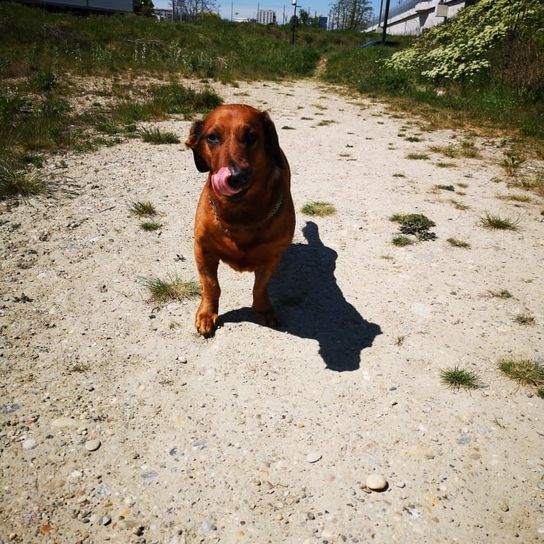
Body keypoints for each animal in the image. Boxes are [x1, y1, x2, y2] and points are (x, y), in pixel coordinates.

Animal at [186, 104, 298, 338]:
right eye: (212, 137)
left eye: (251, 136)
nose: (235, 177)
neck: (241, 215)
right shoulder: (202, 249)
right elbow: (211, 285)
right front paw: (207, 314)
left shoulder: (273, 257)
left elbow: (260, 286)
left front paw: (263, 309)